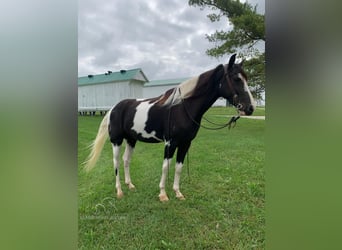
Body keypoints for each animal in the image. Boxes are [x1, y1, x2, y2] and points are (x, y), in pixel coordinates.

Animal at [83, 54, 254, 201]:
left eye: (246, 78)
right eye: (236, 79)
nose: (250, 108)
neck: (183, 108)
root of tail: (114, 108)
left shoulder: (185, 143)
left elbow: (178, 167)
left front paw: (178, 193)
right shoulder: (170, 143)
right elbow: (166, 167)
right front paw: (163, 194)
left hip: (131, 140)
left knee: (126, 160)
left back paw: (130, 185)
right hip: (117, 141)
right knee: (116, 162)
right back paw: (119, 191)